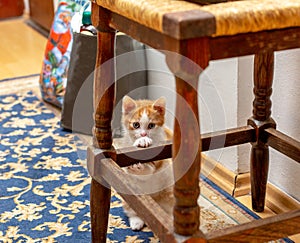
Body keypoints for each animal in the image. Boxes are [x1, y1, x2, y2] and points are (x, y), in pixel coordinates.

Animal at [121, 95, 175, 230]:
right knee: (135, 209)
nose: (143, 134)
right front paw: (141, 141)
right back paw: (136, 221)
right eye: (136, 125)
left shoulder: (163, 154)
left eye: (151, 125)